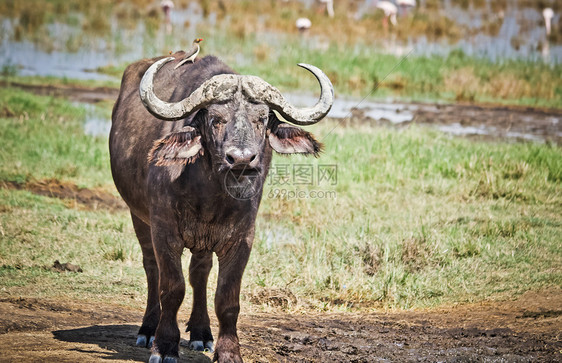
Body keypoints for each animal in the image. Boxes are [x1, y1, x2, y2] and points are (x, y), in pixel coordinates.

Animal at [109, 52, 332, 363]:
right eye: (215, 119)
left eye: (262, 119)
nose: (241, 160)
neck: (210, 196)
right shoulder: (164, 231)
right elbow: (172, 289)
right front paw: (165, 347)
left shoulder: (242, 239)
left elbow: (227, 300)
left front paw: (228, 352)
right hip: (138, 216)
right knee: (151, 268)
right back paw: (148, 330)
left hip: (201, 241)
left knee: (199, 273)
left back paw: (201, 333)